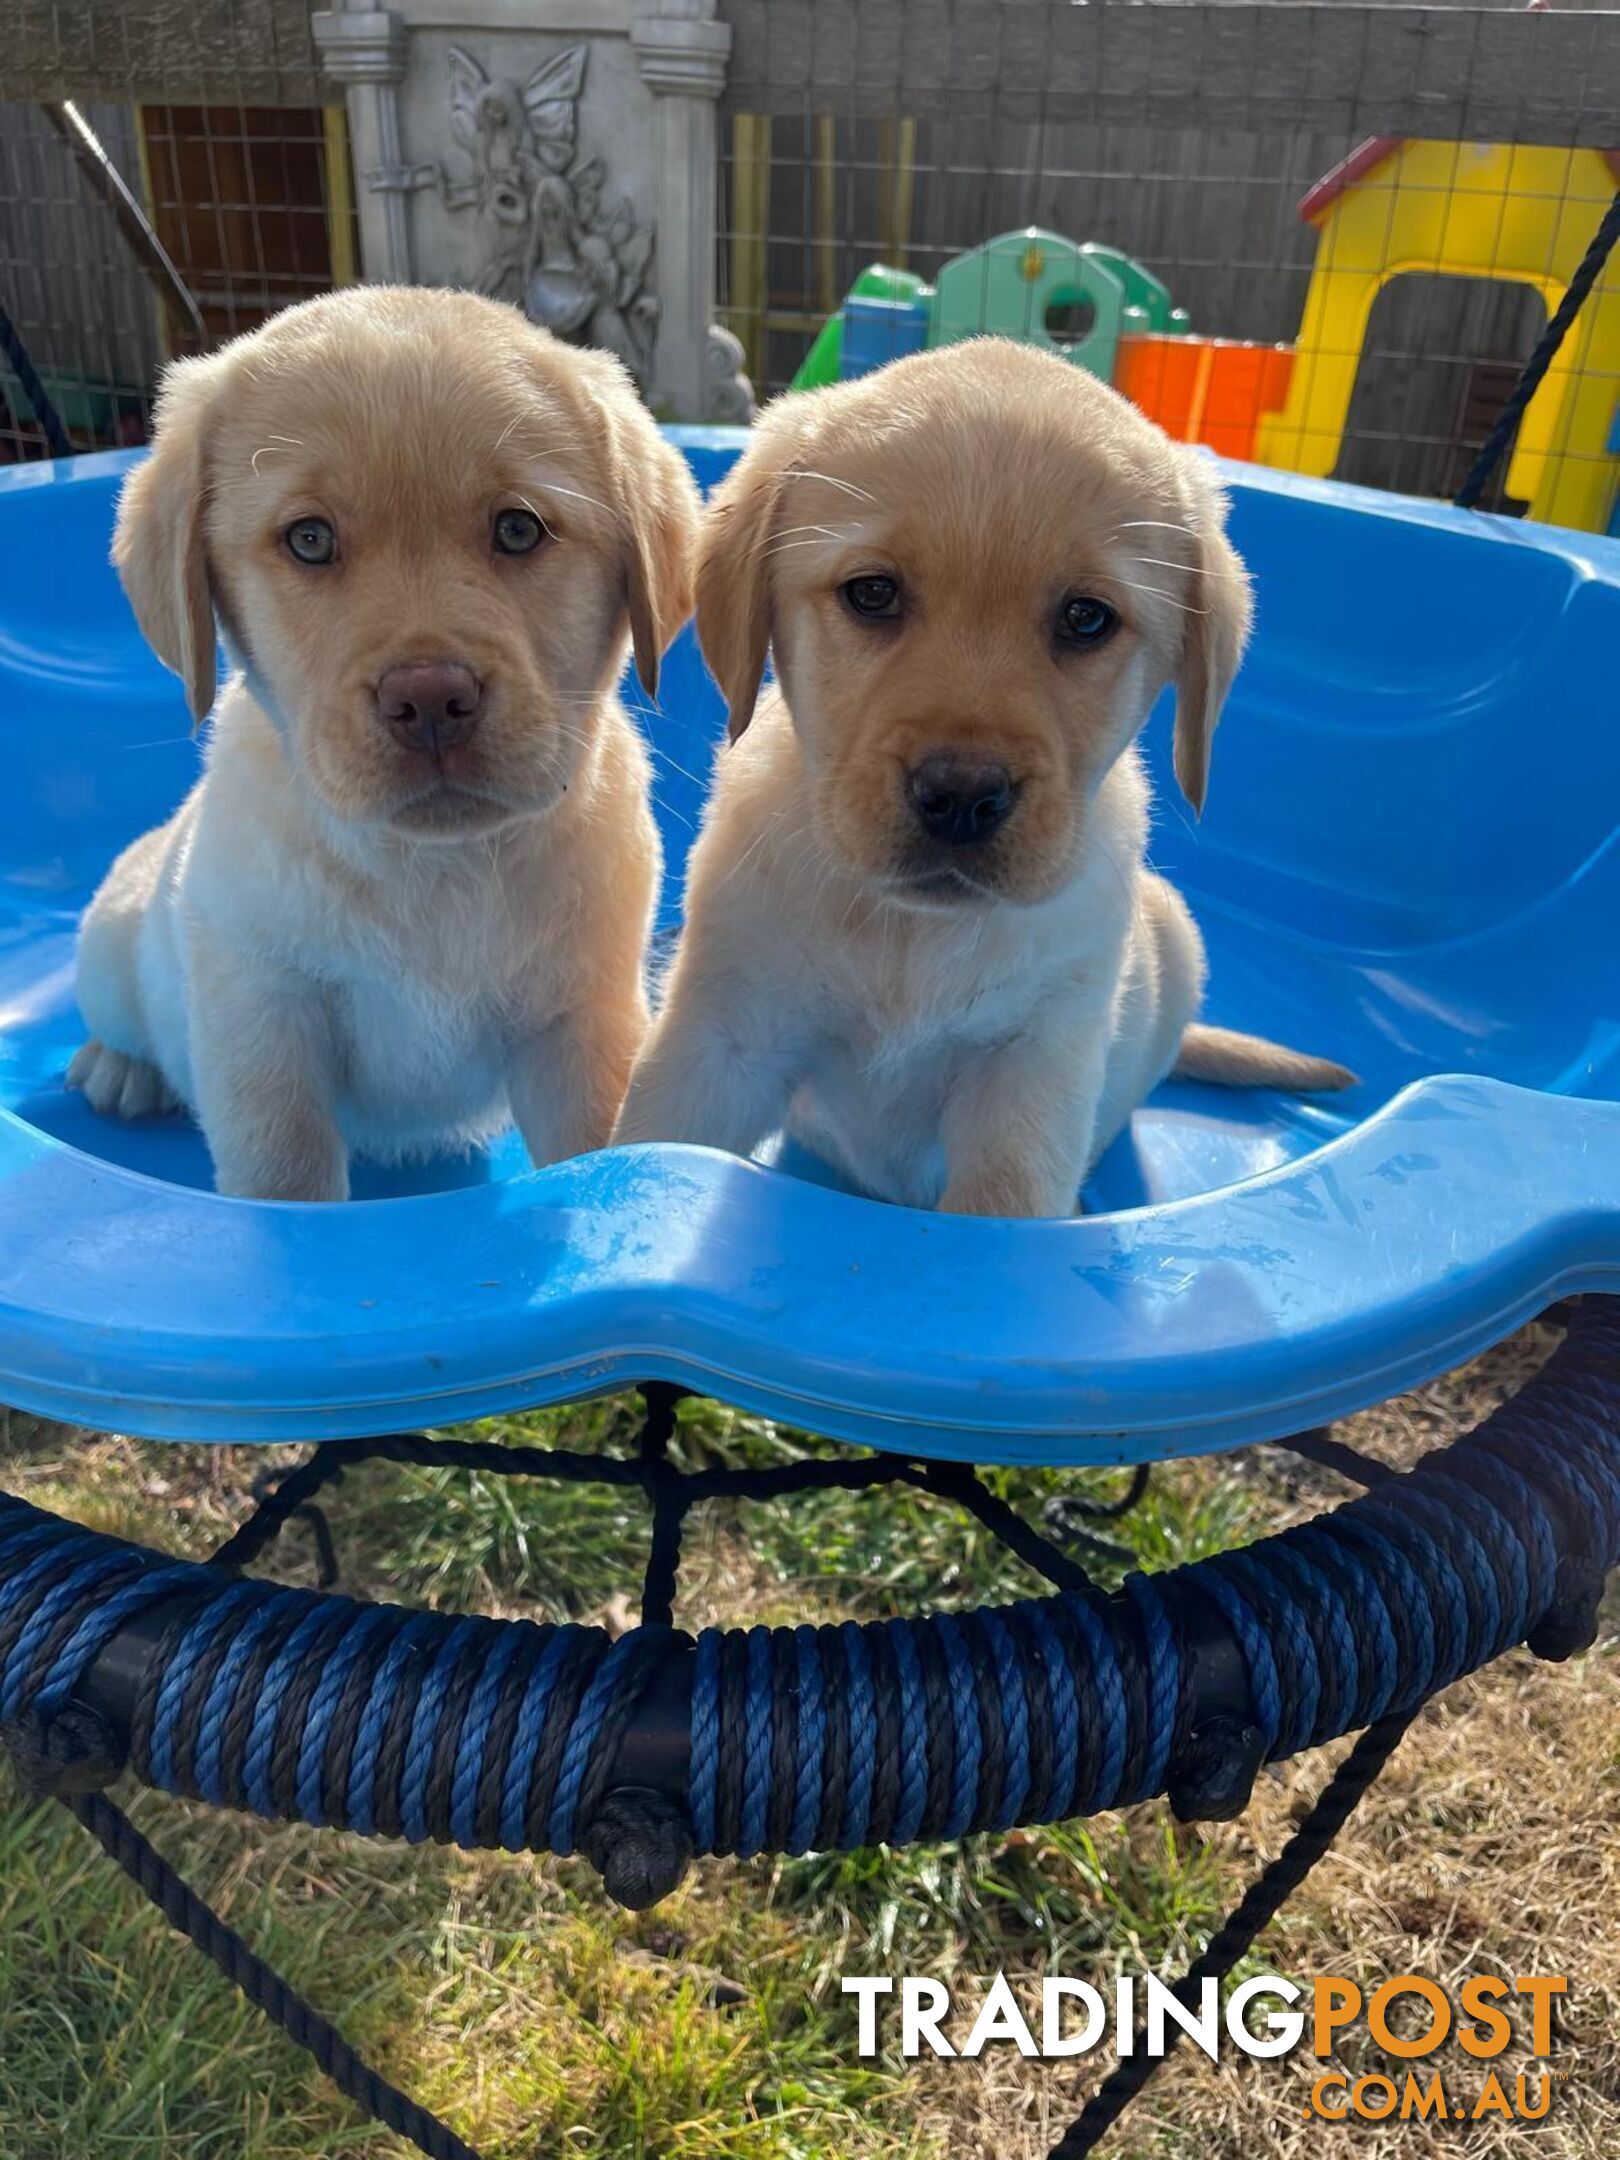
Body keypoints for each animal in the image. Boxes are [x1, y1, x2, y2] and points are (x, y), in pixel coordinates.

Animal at [71, 282, 699, 1200]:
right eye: (309, 539)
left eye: (518, 530)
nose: (429, 697)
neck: (435, 870)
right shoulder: (264, 1027)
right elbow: (285, 1179)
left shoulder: (581, 1022)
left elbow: (595, 1152)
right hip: (113, 943)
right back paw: (119, 1068)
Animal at [613, 336, 1347, 1218]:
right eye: (872, 593)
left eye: (1087, 618)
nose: (961, 796)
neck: (911, 936)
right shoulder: (720, 1038)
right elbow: (638, 1151)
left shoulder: (1031, 1083)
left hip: (1174, 931)